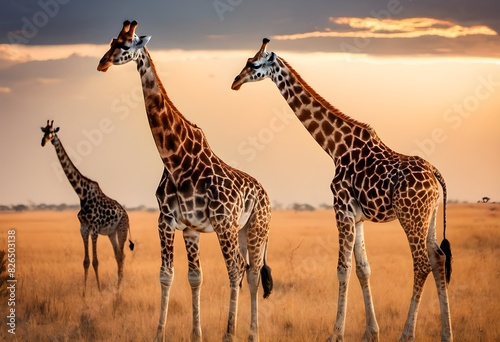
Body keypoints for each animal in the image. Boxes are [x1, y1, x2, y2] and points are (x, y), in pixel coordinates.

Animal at [40, 120, 135, 296]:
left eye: (52, 132)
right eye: (43, 132)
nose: (43, 142)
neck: (81, 194)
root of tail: (126, 214)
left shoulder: (94, 228)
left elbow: (96, 261)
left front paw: (99, 291)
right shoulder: (83, 228)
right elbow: (85, 261)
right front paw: (84, 294)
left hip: (122, 230)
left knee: (123, 255)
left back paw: (119, 289)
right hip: (111, 233)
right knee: (118, 255)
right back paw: (117, 288)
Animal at [97, 21, 274, 342]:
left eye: (126, 46)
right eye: (111, 41)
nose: (102, 63)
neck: (175, 160)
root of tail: (265, 195)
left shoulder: (217, 222)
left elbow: (224, 273)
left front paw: (221, 334)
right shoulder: (176, 223)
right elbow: (184, 276)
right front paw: (189, 334)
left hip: (252, 228)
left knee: (246, 272)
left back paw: (243, 334)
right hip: (243, 231)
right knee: (250, 272)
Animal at [230, 38, 454, 340]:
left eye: (254, 64)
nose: (235, 82)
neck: (336, 147)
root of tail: (434, 174)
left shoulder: (341, 207)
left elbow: (342, 269)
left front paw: (335, 333)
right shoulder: (357, 216)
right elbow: (363, 269)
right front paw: (371, 332)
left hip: (411, 215)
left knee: (421, 263)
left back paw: (407, 334)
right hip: (428, 216)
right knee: (438, 259)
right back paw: (447, 334)